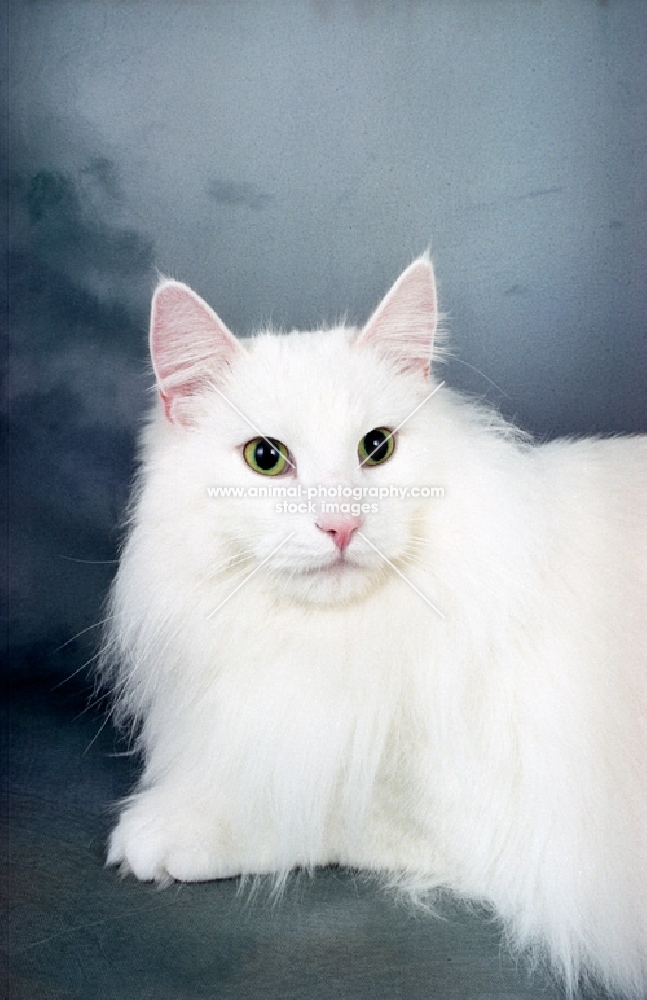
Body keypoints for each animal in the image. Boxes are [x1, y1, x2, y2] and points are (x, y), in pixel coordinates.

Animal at [98, 256, 644, 992]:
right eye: (265, 458)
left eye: (376, 448)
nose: (341, 525)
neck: (345, 641)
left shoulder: (493, 824)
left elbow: (312, 805)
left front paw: (167, 830)